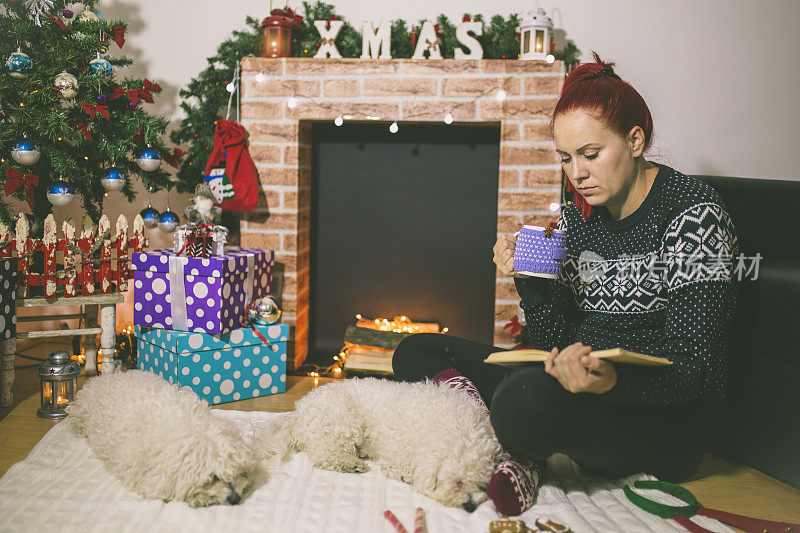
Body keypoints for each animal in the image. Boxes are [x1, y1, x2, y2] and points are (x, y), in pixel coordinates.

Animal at [256, 376, 506, 510]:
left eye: (483, 485)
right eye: (457, 483)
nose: (470, 506)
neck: (454, 427)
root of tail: (300, 411)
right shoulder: (400, 455)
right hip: (343, 420)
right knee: (324, 453)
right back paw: (351, 463)